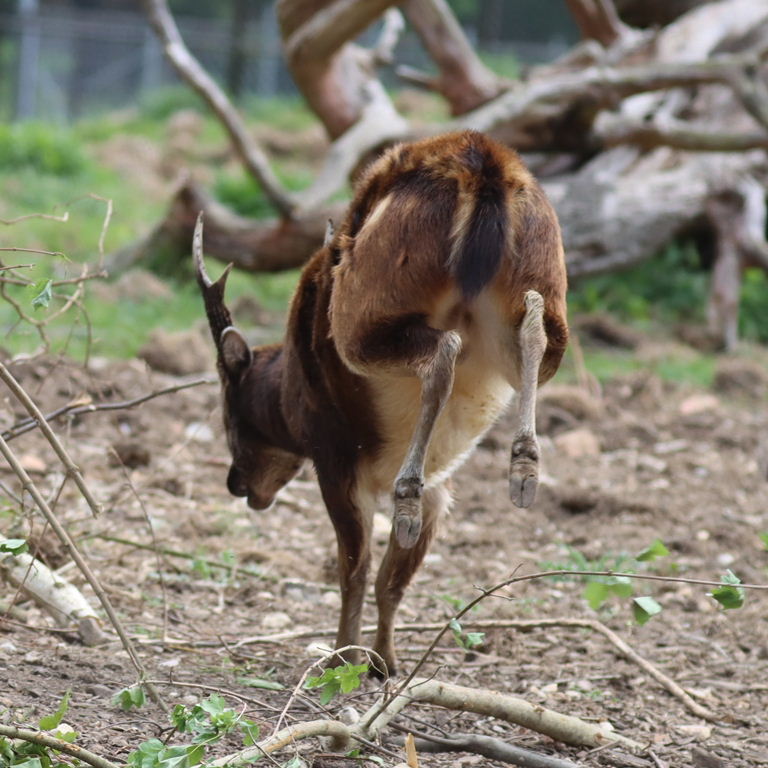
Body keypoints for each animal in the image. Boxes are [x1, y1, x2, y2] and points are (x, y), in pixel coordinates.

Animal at [194, 130, 568, 676]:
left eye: (229, 412)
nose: (237, 484)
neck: (290, 392)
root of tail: (484, 165)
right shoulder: (442, 489)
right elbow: (393, 577)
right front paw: (384, 662)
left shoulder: (331, 455)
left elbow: (355, 567)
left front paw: (342, 658)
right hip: (540, 274)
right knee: (535, 334)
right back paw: (522, 471)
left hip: (370, 309)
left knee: (441, 349)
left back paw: (409, 494)